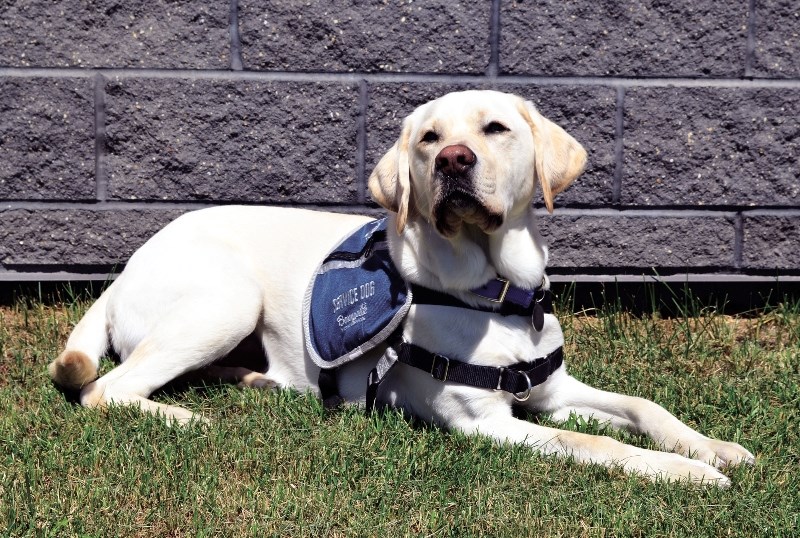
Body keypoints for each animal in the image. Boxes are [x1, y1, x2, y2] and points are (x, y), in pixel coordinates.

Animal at [51, 90, 756, 484]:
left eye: (495, 129)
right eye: (430, 138)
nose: (454, 161)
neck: (498, 292)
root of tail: (122, 273)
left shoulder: (551, 391)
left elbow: (644, 408)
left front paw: (714, 448)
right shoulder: (489, 424)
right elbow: (598, 443)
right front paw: (686, 473)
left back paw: (255, 382)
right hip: (227, 299)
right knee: (106, 390)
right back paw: (184, 415)